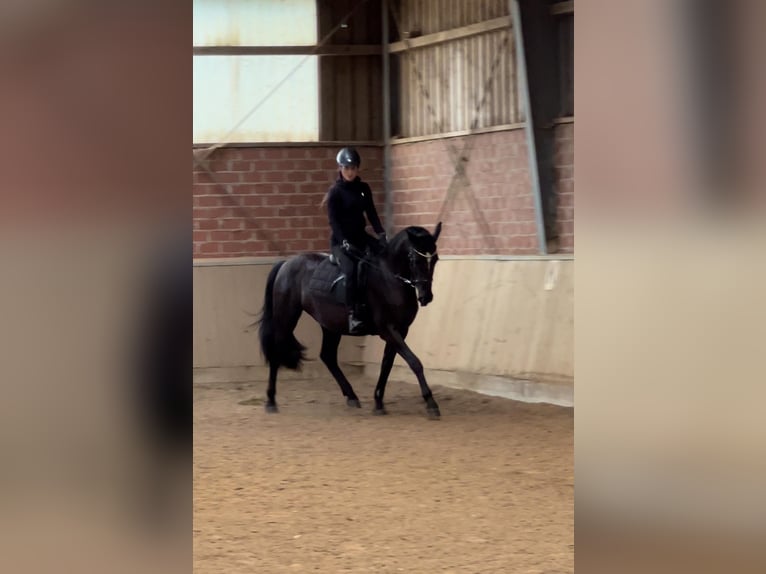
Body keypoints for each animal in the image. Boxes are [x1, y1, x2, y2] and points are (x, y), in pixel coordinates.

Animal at [256, 223, 440, 416]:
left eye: (435, 259)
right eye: (415, 259)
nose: (426, 297)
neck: (389, 279)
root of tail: (286, 263)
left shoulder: (401, 330)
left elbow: (387, 365)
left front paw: (378, 402)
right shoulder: (388, 329)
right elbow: (415, 362)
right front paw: (431, 403)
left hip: (330, 325)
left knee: (328, 356)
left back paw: (352, 396)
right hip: (286, 317)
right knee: (277, 351)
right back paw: (271, 401)